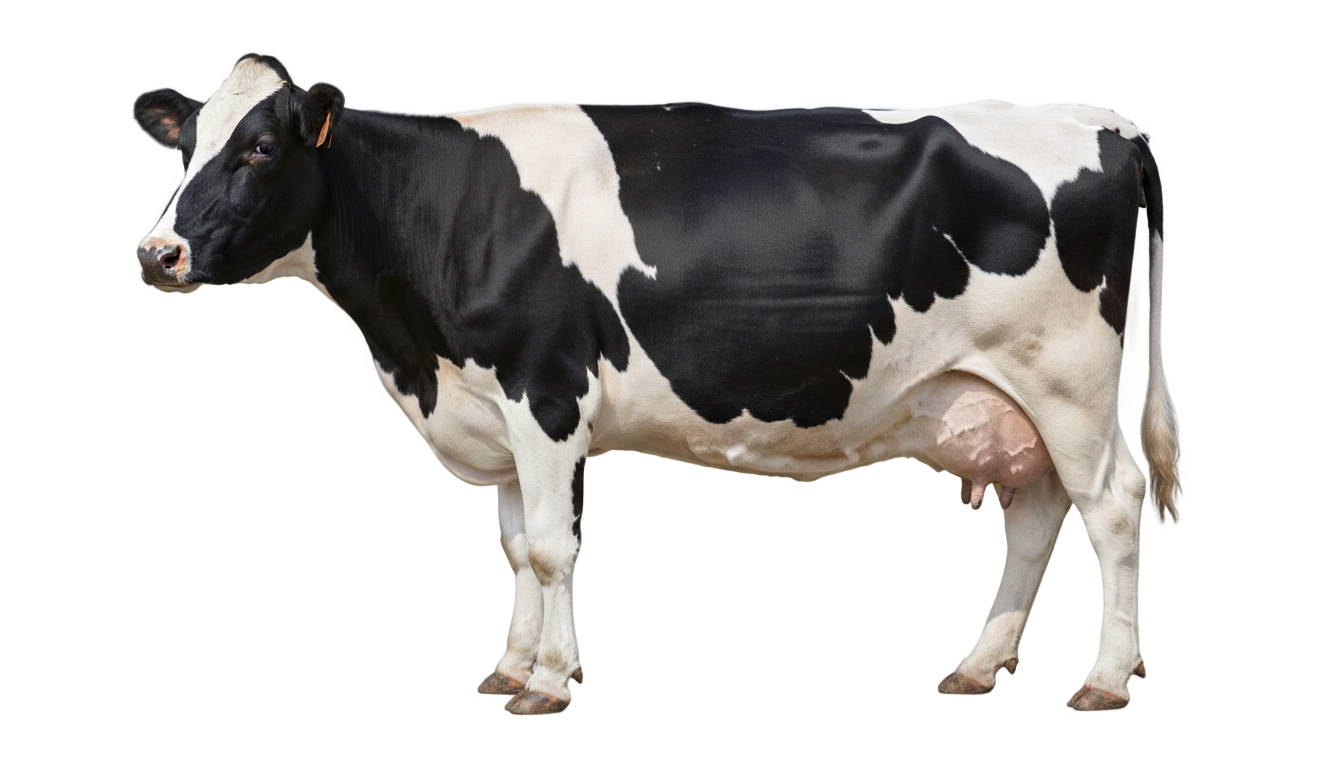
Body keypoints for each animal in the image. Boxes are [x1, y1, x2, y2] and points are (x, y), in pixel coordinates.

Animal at [131, 54, 1178, 714]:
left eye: (260, 149)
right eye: (184, 148)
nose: (156, 253)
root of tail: (1108, 125)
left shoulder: (545, 392)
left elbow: (553, 550)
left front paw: (551, 683)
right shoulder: (493, 413)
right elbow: (514, 550)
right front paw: (507, 670)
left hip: (1072, 386)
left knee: (1113, 513)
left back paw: (1107, 679)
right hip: (1027, 401)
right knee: (1038, 522)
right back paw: (978, 666)